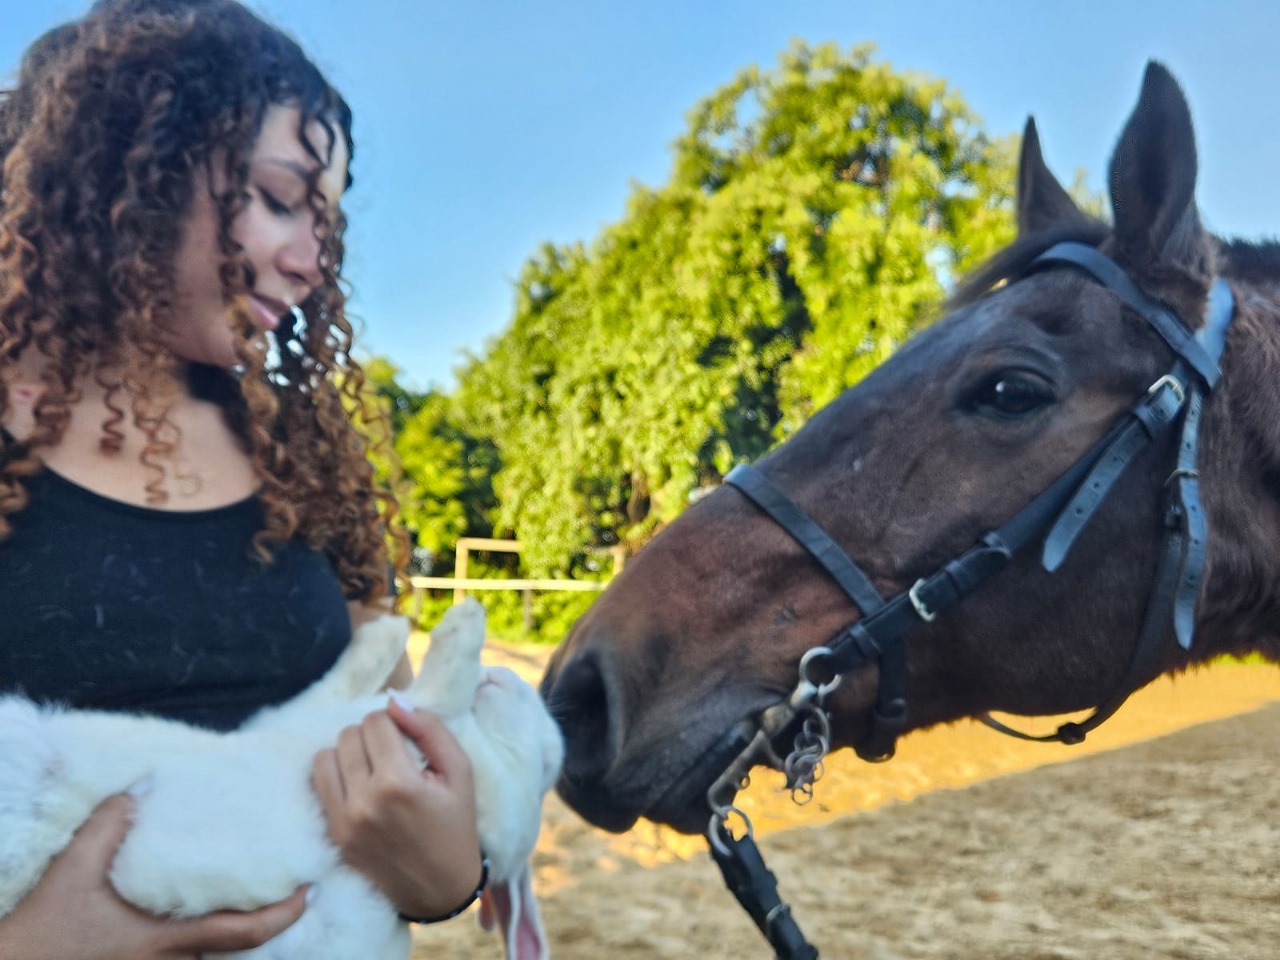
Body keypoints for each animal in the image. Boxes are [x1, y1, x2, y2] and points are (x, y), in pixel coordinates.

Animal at [0, 599, 565, 957]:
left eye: (548, 765)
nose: (505, 675)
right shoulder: (284, 721)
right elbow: (346, 686)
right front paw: (389, 630)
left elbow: (422, 708)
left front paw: (465, 621)